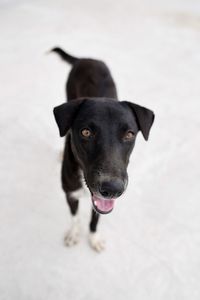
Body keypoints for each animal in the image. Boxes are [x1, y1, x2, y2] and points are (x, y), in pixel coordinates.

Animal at [52, 47, 155, 251]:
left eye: (129, 134)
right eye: (86, 132)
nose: (113, 189)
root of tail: (85, 58)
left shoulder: (102, 202)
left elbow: (95, 220)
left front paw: (94, 238)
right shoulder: (70, 194)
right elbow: (75, 217)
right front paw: (74, 234)